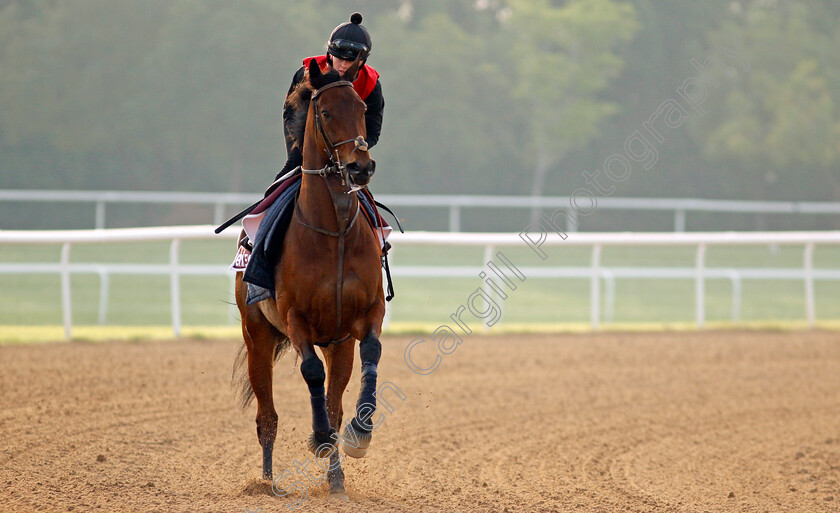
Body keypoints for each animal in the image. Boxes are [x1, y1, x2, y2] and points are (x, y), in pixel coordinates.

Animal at [231, 57, 386, 500]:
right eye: (327, 112)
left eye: (362, 109)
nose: (360, 166)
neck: (333, 232)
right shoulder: (295, 318)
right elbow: (312, 373)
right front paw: (317, 438)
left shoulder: (365, 316)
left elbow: (371, 355)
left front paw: (360, 434)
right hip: (257, 336)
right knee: (267, 417)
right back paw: (267, 482)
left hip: (338, 344)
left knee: (333, 403)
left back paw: (335, 479)